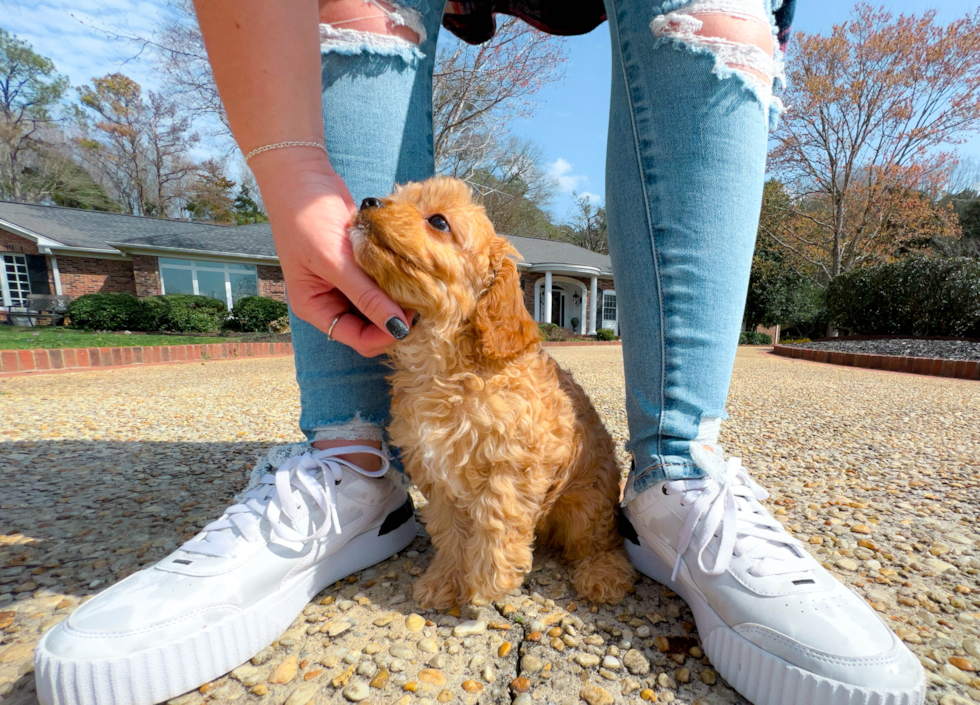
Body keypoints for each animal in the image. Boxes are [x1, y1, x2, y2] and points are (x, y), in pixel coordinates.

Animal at [352, 175, 636, 604]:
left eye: (438, 221)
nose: (367, 201)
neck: (445, 367)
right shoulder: (436, 472)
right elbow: (450, 531)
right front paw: (445, 581)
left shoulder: (511, 466)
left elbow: (497, 518)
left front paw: (489, 580)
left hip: (586, 502)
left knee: (598, 539)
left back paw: (603, 573)